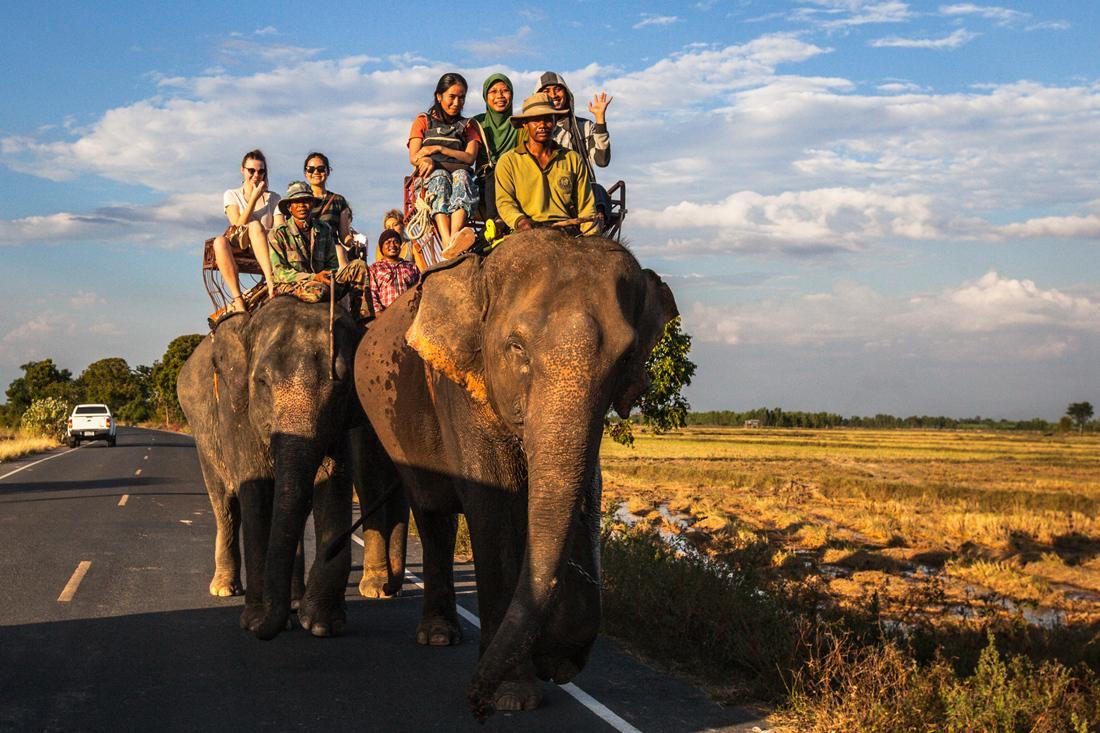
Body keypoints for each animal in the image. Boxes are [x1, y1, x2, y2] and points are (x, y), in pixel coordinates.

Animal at [178, 294, 363, 638]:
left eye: (343, 383)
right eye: (262, 381)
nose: (266, 629)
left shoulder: (342, 421)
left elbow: (332, 486)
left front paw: (320, 624)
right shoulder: (236, 410)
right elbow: (257, 493)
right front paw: (254, 621)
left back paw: (293, 600)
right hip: (202, 434)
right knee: (224, 503)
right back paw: (225, 589)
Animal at [356, 231, 673, 717]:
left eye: (625, 359)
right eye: (516, 348)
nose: (475, 705)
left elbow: (587, 492)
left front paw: (555, 660)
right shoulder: (461, 385)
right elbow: (494, 508)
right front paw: (513, 695)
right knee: (431, 511)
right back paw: (434, 632)